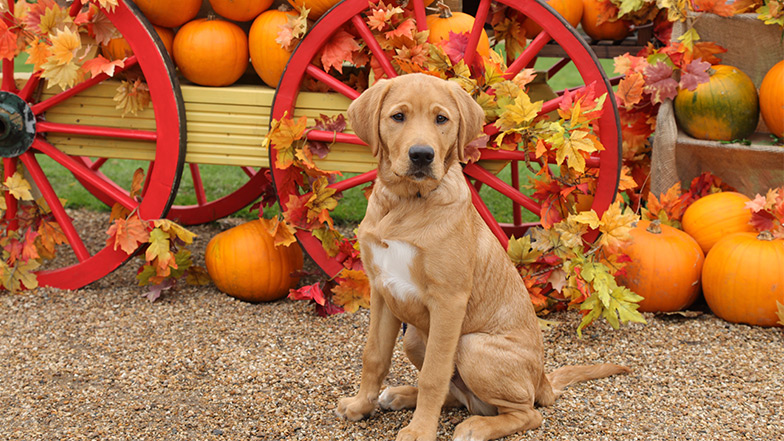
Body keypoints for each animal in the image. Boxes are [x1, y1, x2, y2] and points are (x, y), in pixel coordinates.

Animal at [338, 73, 632, 440]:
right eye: (398, 117)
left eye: (441, 119)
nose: (422, 155)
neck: (405, 202)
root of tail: (543, 380)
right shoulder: (382, 290)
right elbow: (374, 356)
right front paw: (360, 406)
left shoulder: (448, 302)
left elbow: (434, 374)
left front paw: (419, 431)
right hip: (416, 337)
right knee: (459, 396)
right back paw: (402, 395)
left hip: (471, 345)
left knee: (527, 413)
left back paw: (476, 426)